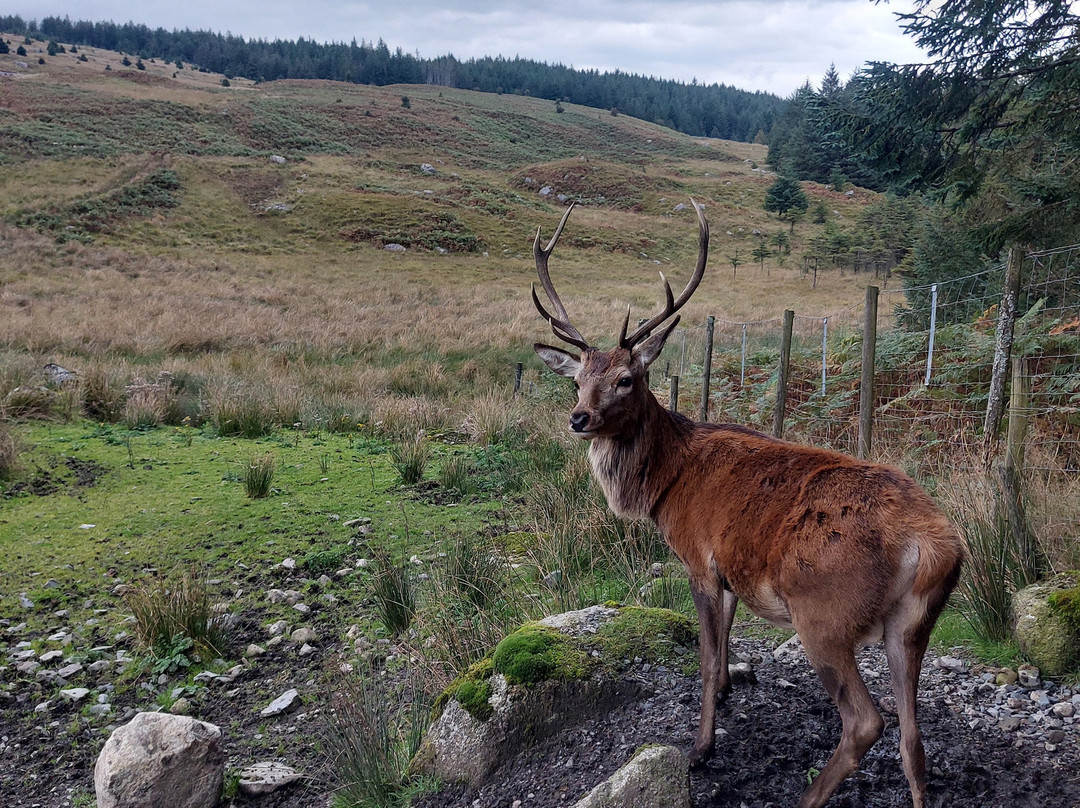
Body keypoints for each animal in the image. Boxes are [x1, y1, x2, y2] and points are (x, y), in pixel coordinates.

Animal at [530, 200, 966, 808]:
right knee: (913, 739)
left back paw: (806, 797)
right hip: (914, 625)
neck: (663, 486)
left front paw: (701, 747)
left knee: (866, 722)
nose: (579, 418)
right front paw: (727, 696)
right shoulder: (732, 568)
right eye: (577, 382)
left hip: (824, 614)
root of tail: (932, 544)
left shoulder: (697, 559)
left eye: (626, 379)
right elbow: (728, 643)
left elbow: (707, 655)